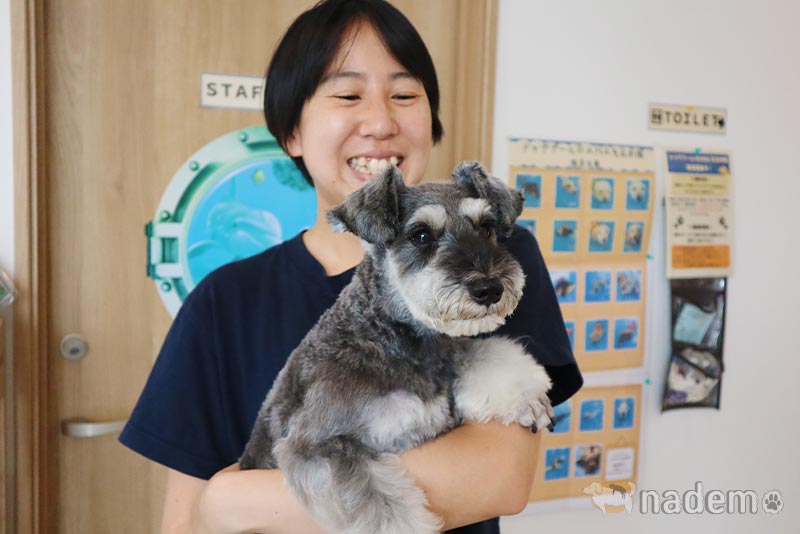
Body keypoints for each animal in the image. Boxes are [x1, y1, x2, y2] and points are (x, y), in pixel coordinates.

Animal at [241, 162, 552, 534]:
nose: (489, 288)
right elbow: (381, 507)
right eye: (421, 235)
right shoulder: (316, 446)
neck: (385, 335)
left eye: (487, 227)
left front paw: (526, 398)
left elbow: (478, 355)